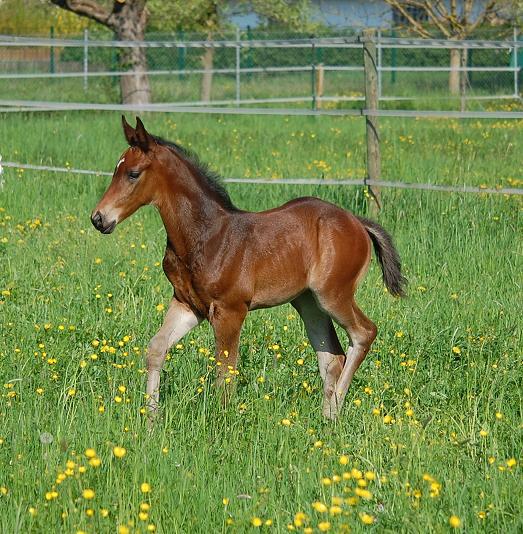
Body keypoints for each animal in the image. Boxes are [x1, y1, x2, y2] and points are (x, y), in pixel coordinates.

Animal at [92, 118, 408, 422]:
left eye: (133, 174)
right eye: (116, 170)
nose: (98, 219)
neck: (205, 235)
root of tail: (357, 222)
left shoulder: (230, 310)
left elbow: (225, 372)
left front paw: (221, 423)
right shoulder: (187, 304)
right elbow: (156, 349)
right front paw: (151, 419)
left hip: (333, 295)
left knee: (364, 333)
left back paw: (336, 408)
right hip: (308, 302)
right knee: (331, 357)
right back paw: (326, 418)